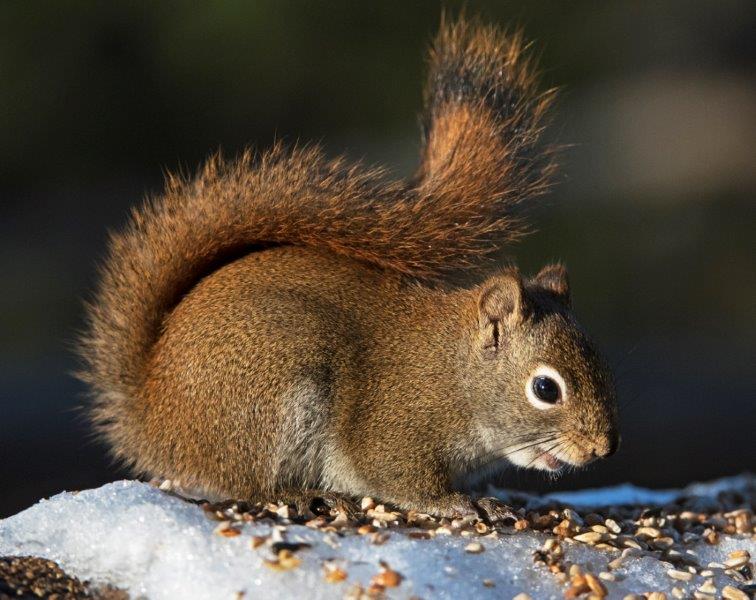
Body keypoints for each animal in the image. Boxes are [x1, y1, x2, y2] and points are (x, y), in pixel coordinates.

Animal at [79, 17, 619, 522]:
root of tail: (153, 417)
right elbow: (399, 478)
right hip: (270, 388)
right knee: (248, 483)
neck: (453, 372)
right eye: (545, 389)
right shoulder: (394, 428)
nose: (603, 448)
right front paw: (459, 504)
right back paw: (301, 494)